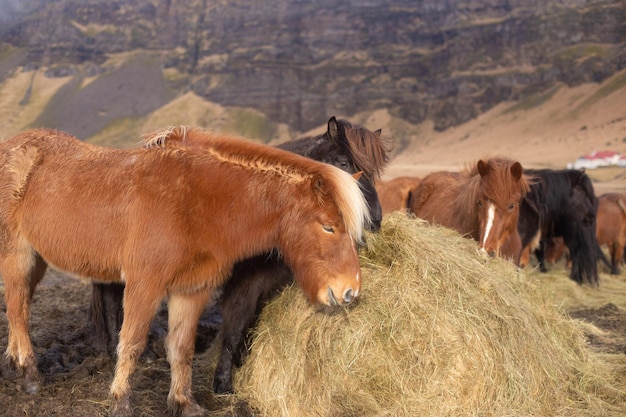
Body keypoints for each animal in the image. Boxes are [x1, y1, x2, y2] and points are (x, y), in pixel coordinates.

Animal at [0, 127, 368, 416]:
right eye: (328, 226)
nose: (349, 290)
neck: (196, 198)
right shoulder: (144, 285)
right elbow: (132, 342)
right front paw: (120, 402)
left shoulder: (192, 289)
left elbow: (181, 347)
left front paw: (183, 403)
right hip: (18, 255)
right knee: (18, 310)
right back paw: (31, 377)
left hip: (37, 259)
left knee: (20, 305)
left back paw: (14, 363)